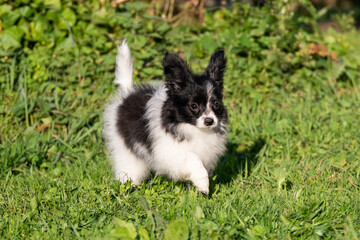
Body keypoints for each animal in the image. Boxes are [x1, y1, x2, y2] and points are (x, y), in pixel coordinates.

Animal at [103, 40, 228, 194]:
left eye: (216, 104)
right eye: (194, 106)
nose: (209, 121)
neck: (193, 128)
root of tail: (127, 93)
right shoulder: (171, 152)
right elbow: (193, 158)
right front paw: (203, 184)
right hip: (126, 149)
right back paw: (127, 187)